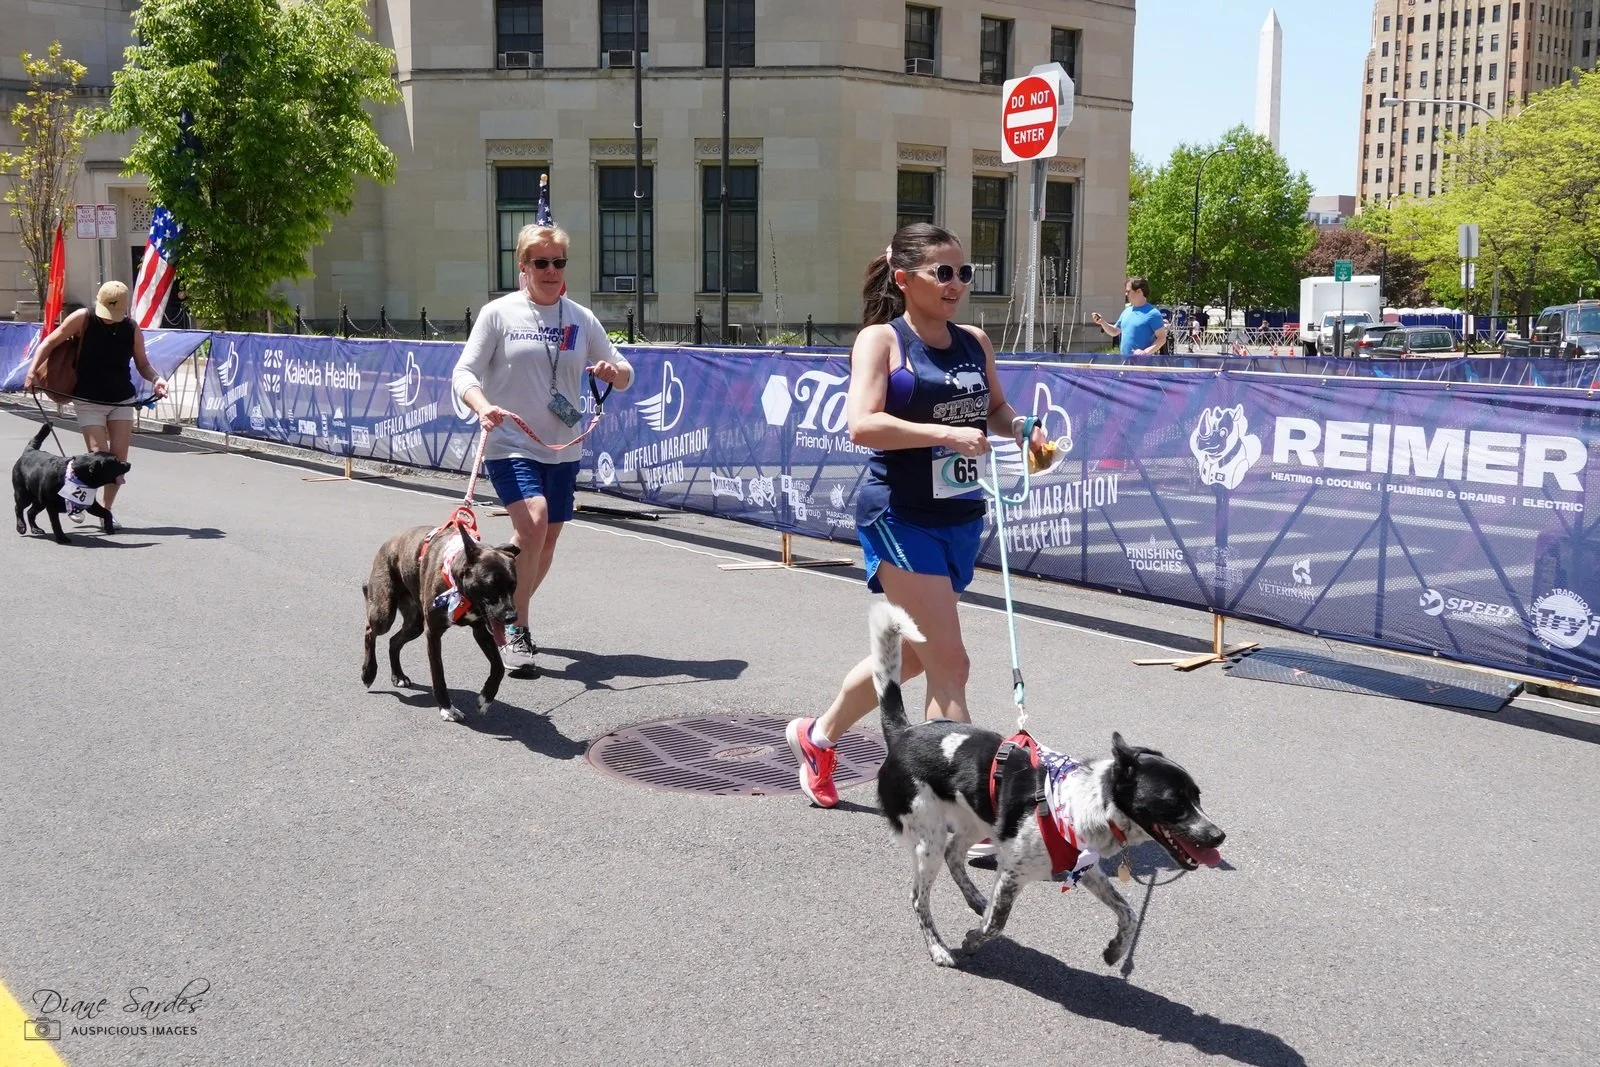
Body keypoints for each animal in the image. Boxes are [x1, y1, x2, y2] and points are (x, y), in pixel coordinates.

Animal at [361, 520, 521, 721]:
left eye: (514, 586)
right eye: (491, 586)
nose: (511, 617)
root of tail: (389, 542)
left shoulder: (481, 631)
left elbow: (498, 667)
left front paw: (486, 698)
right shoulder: (433, 633)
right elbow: (438, 673)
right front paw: (447, 708)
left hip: (414, 624)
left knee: (394, 641)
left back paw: (398, 675)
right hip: (384, 613)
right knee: (370, 631)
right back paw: (368, 672)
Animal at [869, 602, 1225, 967]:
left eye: (1197, 797)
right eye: (1174, 801)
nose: (1219, 836)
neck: (1090, 802)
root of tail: (903, 733)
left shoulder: (1086, 867)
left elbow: (1128, 912)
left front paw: (1116, 949)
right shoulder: (1012, 872)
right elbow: (997, 924)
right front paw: (972, 940)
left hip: (975, 821)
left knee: (955, 855)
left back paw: (977, 900)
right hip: (928, 839)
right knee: (918, 897)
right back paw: (938, 948)